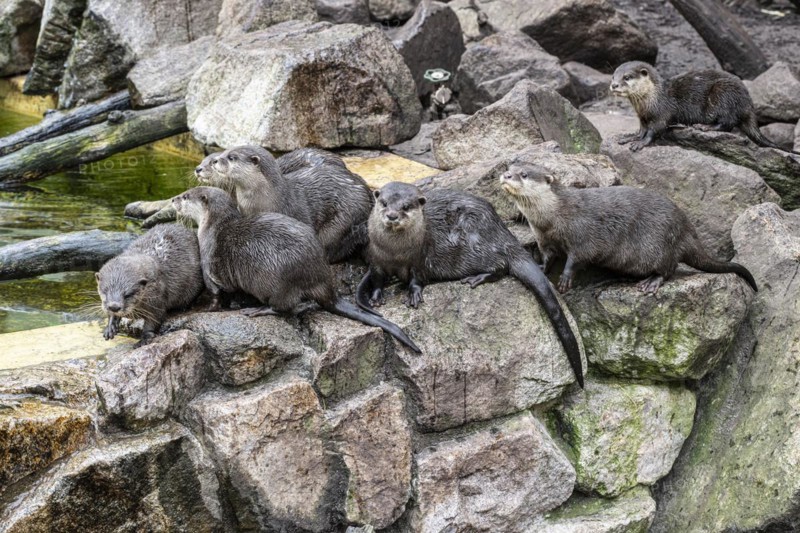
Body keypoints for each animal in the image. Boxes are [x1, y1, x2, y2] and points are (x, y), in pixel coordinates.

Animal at [171, 186, 420, 354]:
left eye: (185, 196)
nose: (173, 198)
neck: (212, 230)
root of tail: (321, 280)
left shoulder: (210, 269)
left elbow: (217, 294)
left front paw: (208, 309)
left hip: (278, 282)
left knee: (285, 307)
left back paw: (259, 310)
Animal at [356, 182, 584, 387]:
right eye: (384, 203)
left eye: (405, 206)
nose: (392, 215)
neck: (395, 252)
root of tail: (502, 232)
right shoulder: (375, 259)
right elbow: (377, 279)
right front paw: (376, 296)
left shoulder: (419, 258)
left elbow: (417, 279)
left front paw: (413, 294)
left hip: (474, 245)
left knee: (501, 265)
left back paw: (478, 277)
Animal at [500, 162, 758, 295]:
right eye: (510, 165)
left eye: (524, 174)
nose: (506, 175)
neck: (554, 217)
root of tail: (686, 229)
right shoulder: (543, 237)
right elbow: (548, 256)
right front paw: (540, 267)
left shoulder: (581, 234)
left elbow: (577, 257)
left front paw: (565, 278)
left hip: (660, 244)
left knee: (669, 268)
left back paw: (651, 282)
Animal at [610, 61, 799, 154]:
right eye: (613, 75)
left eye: (627, 77)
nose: (613, 85)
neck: (651, 100)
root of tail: (748, 103)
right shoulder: (642, 117)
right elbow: (641, 129)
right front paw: (630, 137)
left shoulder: (662, 113)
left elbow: (655, 130)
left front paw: (640, 143)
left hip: (723, 94)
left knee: (728, 123)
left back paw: (704, 127)